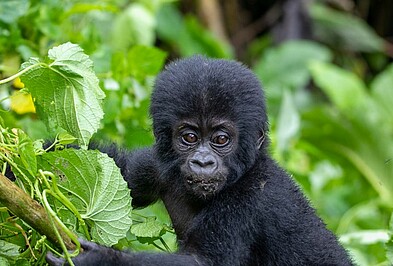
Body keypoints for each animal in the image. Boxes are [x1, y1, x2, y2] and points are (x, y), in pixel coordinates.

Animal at [46, 55, 352, 264]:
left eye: (221, 139)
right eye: (190, 137)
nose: (203, 162)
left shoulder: (248, 199)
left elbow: (202, 262)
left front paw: (101, 260)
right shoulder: (156, 165)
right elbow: (116, 172)